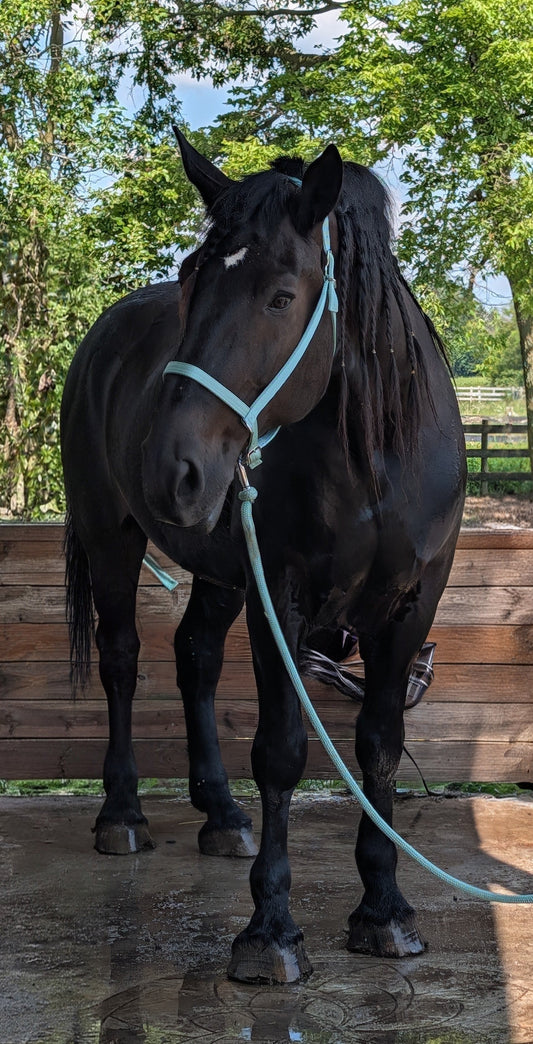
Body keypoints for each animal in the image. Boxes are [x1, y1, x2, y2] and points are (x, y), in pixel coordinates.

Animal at [61, 129, 466, 985]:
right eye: (191, 281)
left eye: (281, 296)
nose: (170, 469)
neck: (372, 461)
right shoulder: (279, 593)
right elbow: (280, 752)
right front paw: (270, 930)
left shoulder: (410, 605)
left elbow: (379, 745)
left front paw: (384, 910)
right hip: (113, 538)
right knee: (122, 660)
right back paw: (122, 814)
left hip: (219, 568)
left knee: (193, 656)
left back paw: (220, 814)